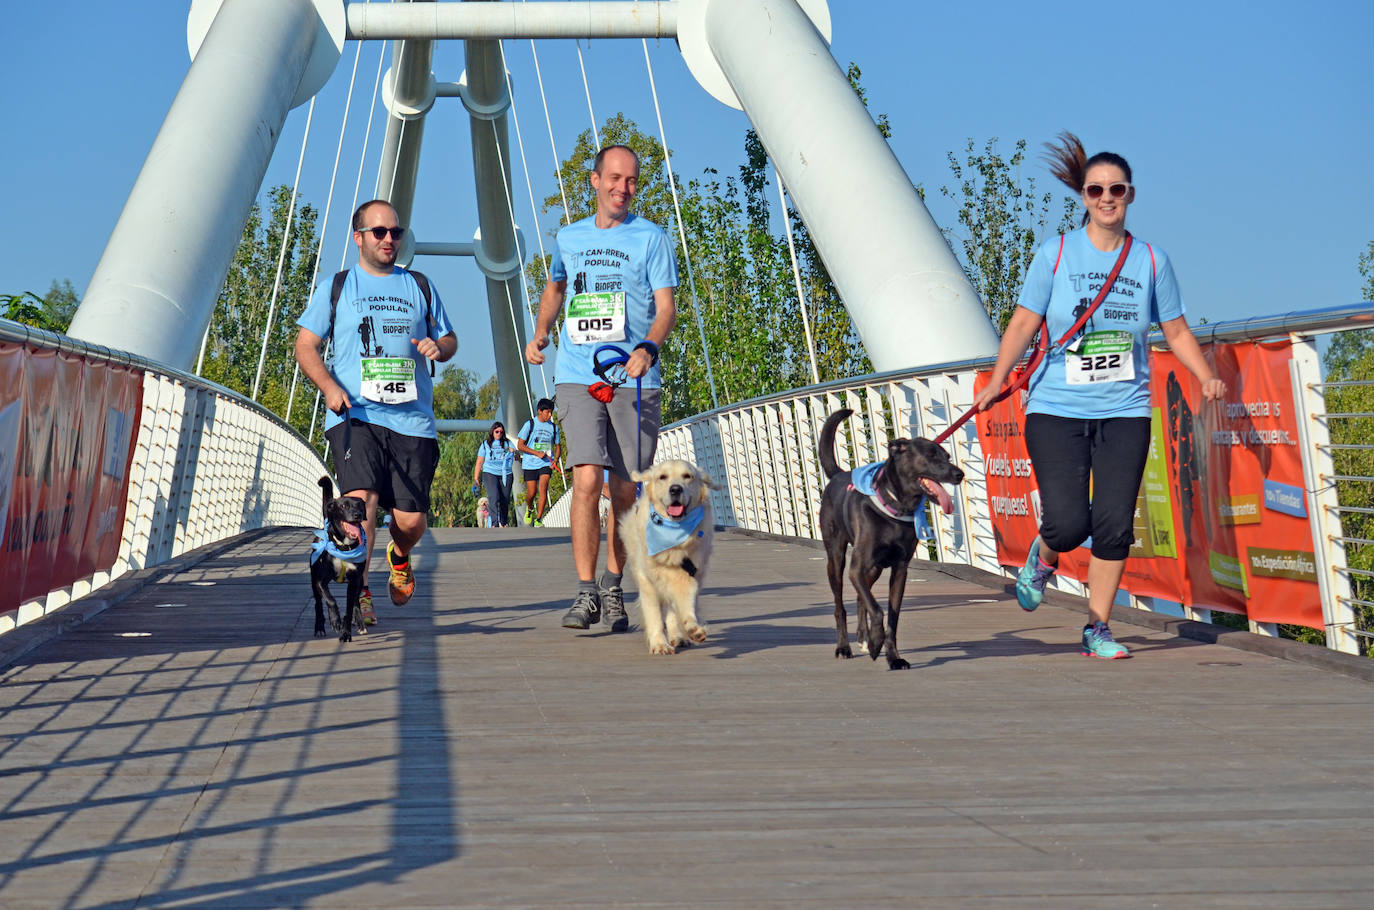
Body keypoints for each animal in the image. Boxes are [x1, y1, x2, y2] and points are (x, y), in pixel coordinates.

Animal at [818, 409, 961, 668]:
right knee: (840, 606)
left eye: (946, 456)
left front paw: (892, 656)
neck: (897, 504)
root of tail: (840, 475)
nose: (959, 474)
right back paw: (844, 647)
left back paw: (863, 637)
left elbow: (892, 616)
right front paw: (876, 643)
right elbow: (877, 610)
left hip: (874, 568)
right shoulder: (856, 567)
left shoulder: (899, 568)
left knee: (860, 597)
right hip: (836, 558)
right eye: (931, 456)